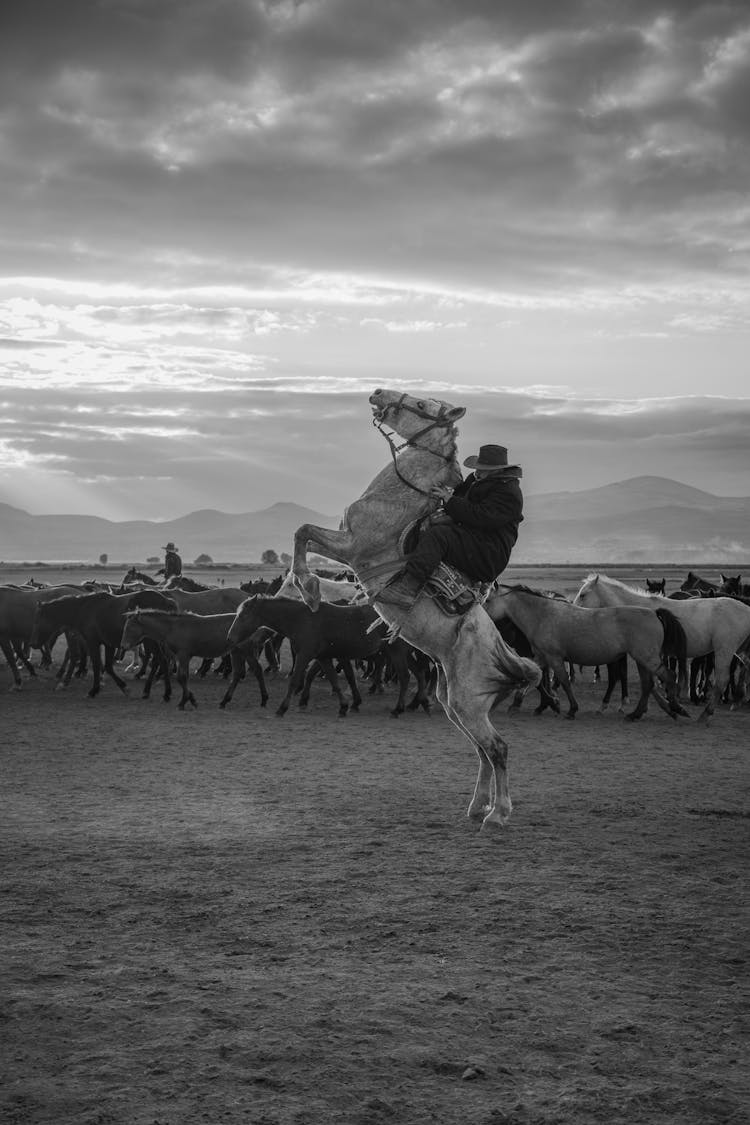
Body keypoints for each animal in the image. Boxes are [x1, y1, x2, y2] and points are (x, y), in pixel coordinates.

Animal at [290, 391, 541, 832]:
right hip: (457, 703)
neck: (397, 495)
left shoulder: (352, 547)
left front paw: (311, 590)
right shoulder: (345, 545)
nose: (377, 394)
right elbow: (302, 535)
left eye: (424, 405)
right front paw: (311, 590)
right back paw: (478, 806)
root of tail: (501, 651)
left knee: (498, 748)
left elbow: (303, 531)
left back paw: (498, 813)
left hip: (467, 702)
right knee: (482, 751)